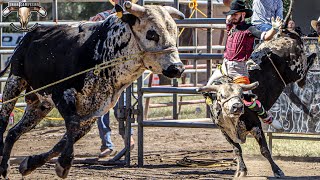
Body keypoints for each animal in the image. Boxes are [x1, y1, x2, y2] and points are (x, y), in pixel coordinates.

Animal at [0, 2, 185, 178]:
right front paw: (64, 164)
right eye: (151, 34)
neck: (106, 51)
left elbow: (69, 137)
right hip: (14, 81)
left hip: (40, 103)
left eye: (175, 33)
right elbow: (72, 125)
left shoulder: (97, 109)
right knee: (4, 119)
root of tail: (29, 34)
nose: (177, 68)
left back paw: (6, 165)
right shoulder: (62, 93)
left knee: (14, 132)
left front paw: (30, 164)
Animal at [200, 29, 318, 177]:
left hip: (296, 70)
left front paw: (277, 170)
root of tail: (285, 34)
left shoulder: (255, 125)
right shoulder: (224, 131)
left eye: (241, 95)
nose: (237, 106)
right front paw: (241, 170)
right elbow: (237, 149)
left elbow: (264, 150)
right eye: (222, 95)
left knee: (308, 61)